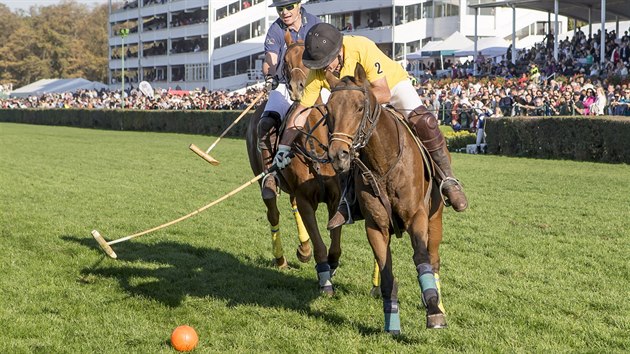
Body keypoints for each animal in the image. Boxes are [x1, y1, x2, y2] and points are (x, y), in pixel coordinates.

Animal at [247, 31, 346, 294]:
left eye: (310, 60)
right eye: (286, 61)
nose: (296, 88)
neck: (315, 143)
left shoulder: (335, 198)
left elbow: (335, 240)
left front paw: (331, 263)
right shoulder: (305, 198)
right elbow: (320, 242)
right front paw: (324, 279)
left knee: (291, 207)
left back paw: (303, 249)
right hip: (263, 177)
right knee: (273, 213)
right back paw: (281, 258)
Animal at [326, 64, 450, 334]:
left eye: (358, 107)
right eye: (328, 110)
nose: (338, 156)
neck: (383, 164)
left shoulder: (417, 217)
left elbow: (422, 258)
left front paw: (433, 309)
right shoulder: (375, 225)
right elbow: (386, 274)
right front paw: (391, 320)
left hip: (435, 217)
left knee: (434, 259)